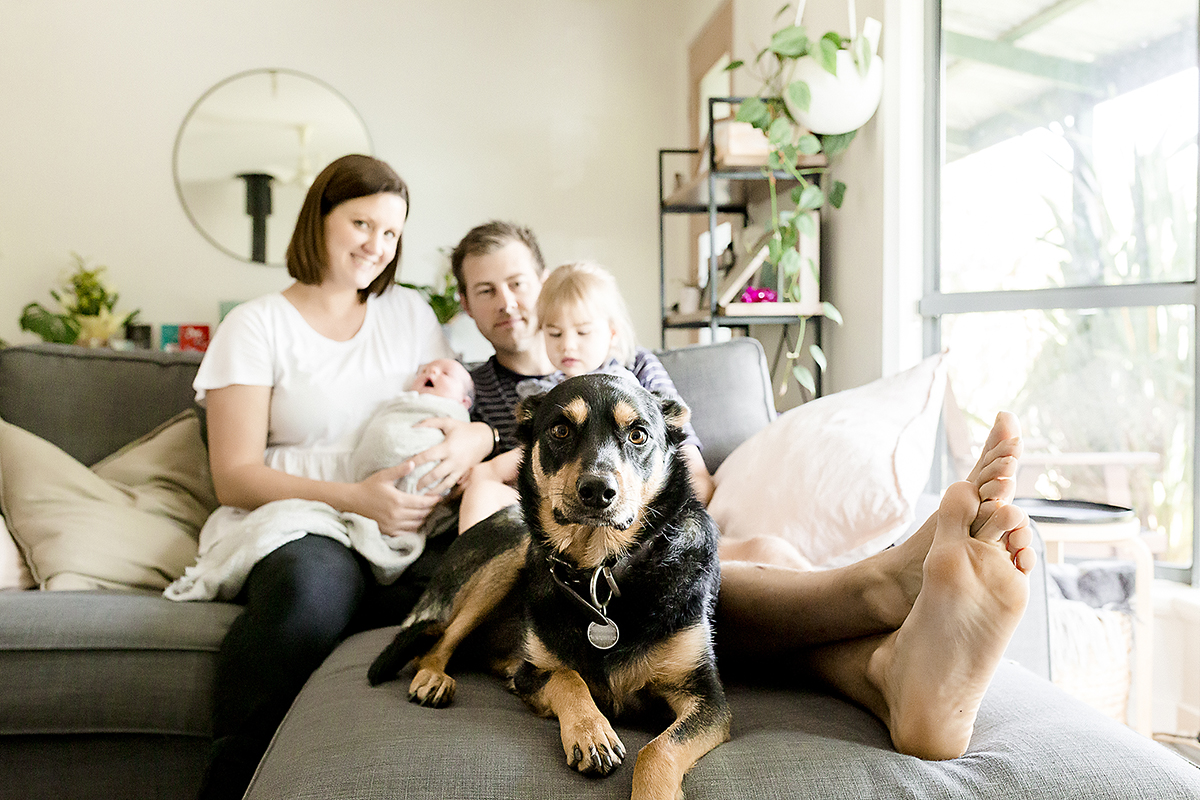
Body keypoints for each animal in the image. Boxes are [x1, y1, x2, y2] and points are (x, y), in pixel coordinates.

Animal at [364, 376, 724, 800]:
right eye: (560, 430)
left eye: (638, 435)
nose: (597, 490)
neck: (598, 573)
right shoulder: (532, 672)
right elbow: (567, 677)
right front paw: (591, 732)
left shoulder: (707, 697)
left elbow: (657, 749)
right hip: (511, 555)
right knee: (439, 641)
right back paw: (432, 677)